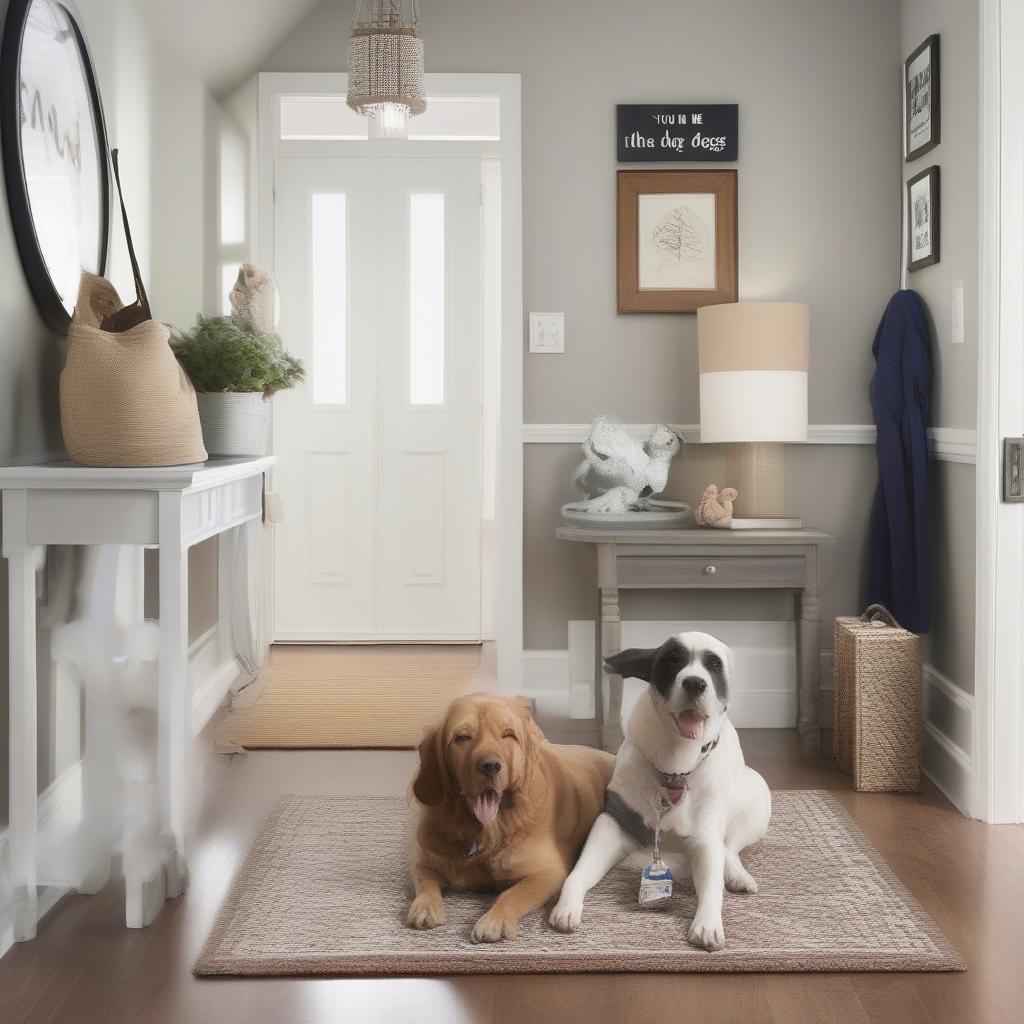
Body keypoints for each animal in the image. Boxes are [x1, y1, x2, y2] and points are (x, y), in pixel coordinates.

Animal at [407, 692, 614, 937]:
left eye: (508, 735)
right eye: (463, 737)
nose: (490, 766)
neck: (485, 833)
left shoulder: (548, 873)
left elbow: (512, 894)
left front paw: (494, 920)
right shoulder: (424, 860)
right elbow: (425, 882)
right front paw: (425, 906)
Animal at [552, 630, 770, 950]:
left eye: (714, 663)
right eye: (672, 659)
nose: (694, 682)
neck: (676, 764)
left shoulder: (705, 836)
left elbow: (711, 881)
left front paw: (707, 924)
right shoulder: (613, 821)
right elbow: (577, 873)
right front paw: (566, 905)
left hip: (759, 798)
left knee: (729, 848)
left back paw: (737, 875)